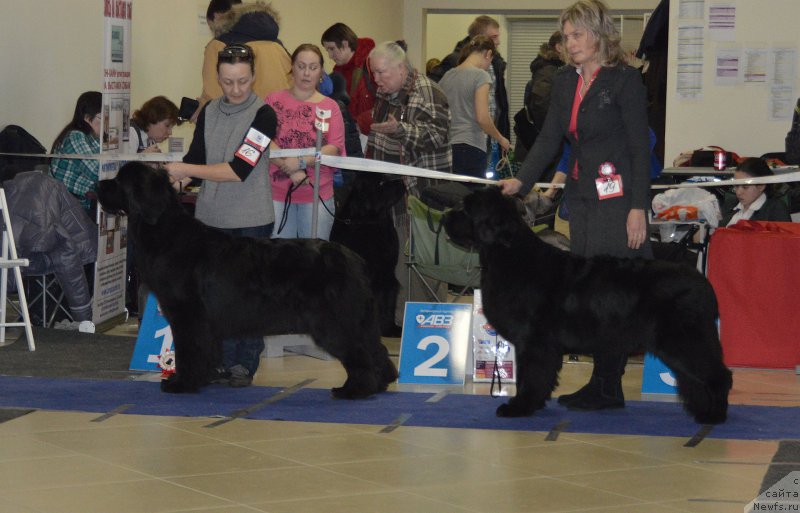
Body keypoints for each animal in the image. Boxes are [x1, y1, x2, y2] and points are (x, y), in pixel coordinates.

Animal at [99, 162, 396, 398]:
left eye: (119, 181)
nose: (97, 184)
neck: (164, 230)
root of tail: (354, 259)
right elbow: (206, 351)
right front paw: (202, 378)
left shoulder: (187, 315)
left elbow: (189, 351)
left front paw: (181, 383)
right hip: (358, 319)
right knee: (376, 349)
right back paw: (381, 383)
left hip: (334, 322)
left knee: (360, 353)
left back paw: (354, 390)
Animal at [444, 188, 732, 424]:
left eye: (466, 209)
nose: (445, 217)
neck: (509, 255)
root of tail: (703, 283)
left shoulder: (534, 341)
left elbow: (531, 376)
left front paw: (519, 407)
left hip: (685, 339)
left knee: (718, 374)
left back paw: (713, 415)